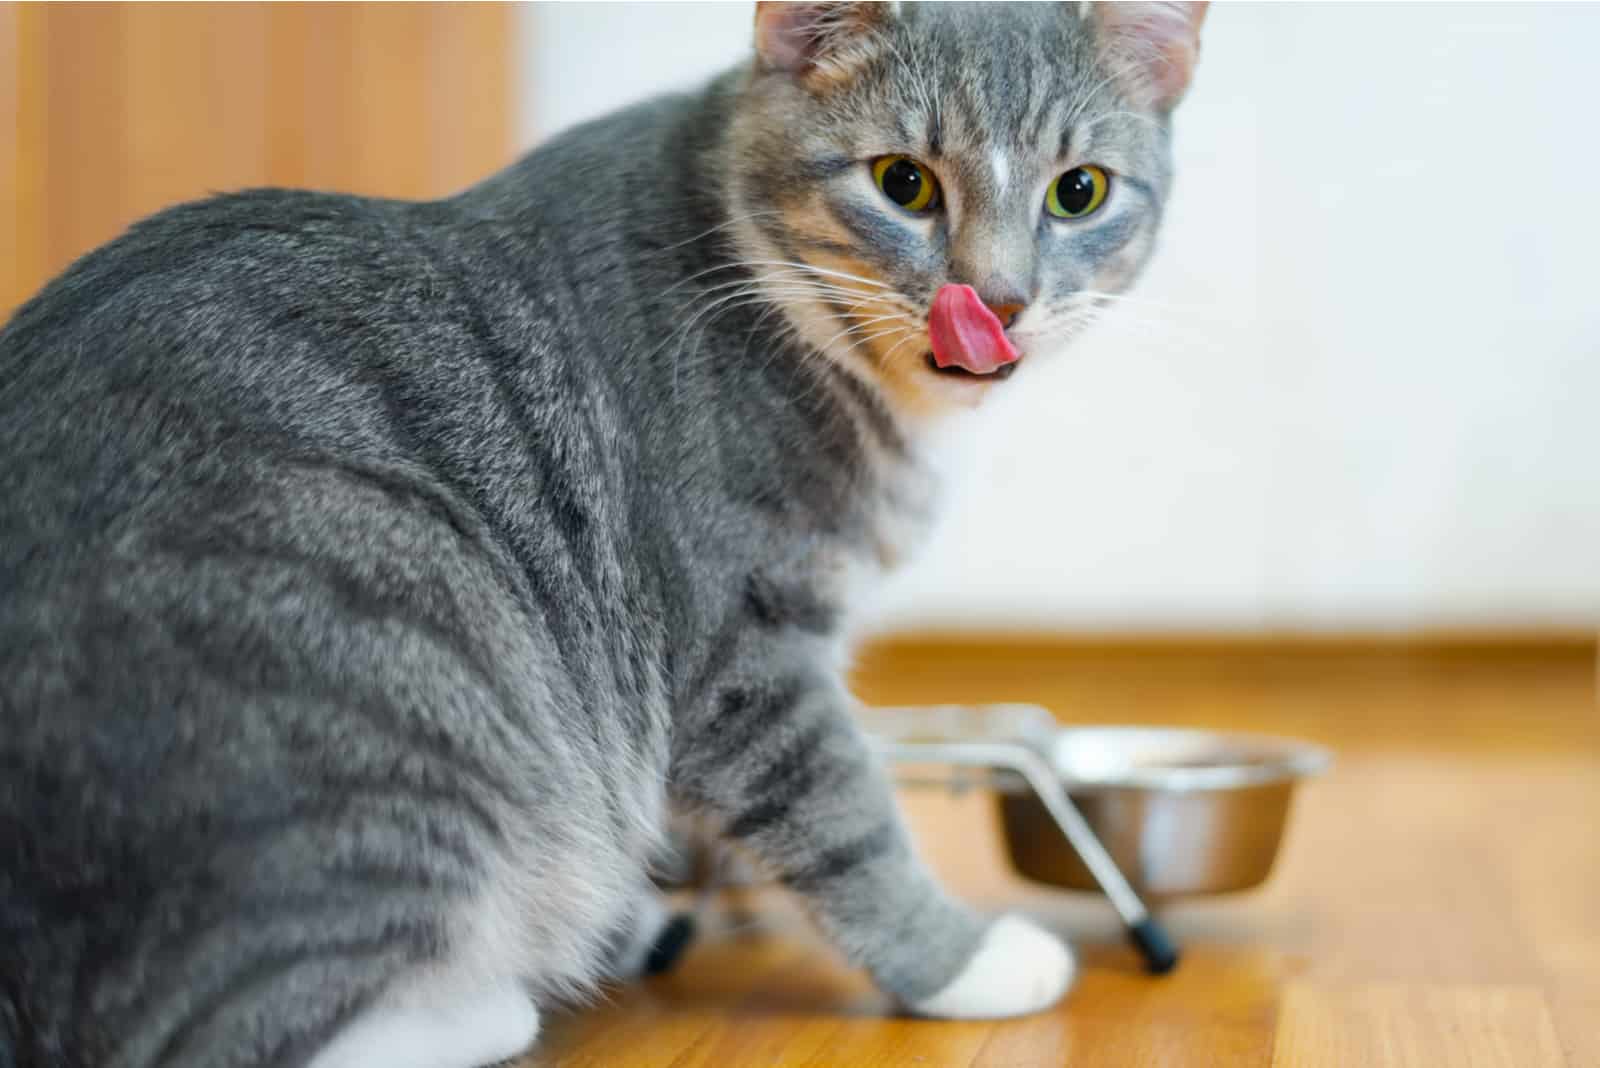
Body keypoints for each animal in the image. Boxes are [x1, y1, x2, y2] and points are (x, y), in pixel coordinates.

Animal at [0, 4, 1203, 1061]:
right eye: (902, 182)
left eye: (1078, 193)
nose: (996, 303)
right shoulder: (746, 650)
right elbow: (843, 815)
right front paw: (961, 961)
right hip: (397, 636)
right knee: (235, 1029)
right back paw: (489, 1005)